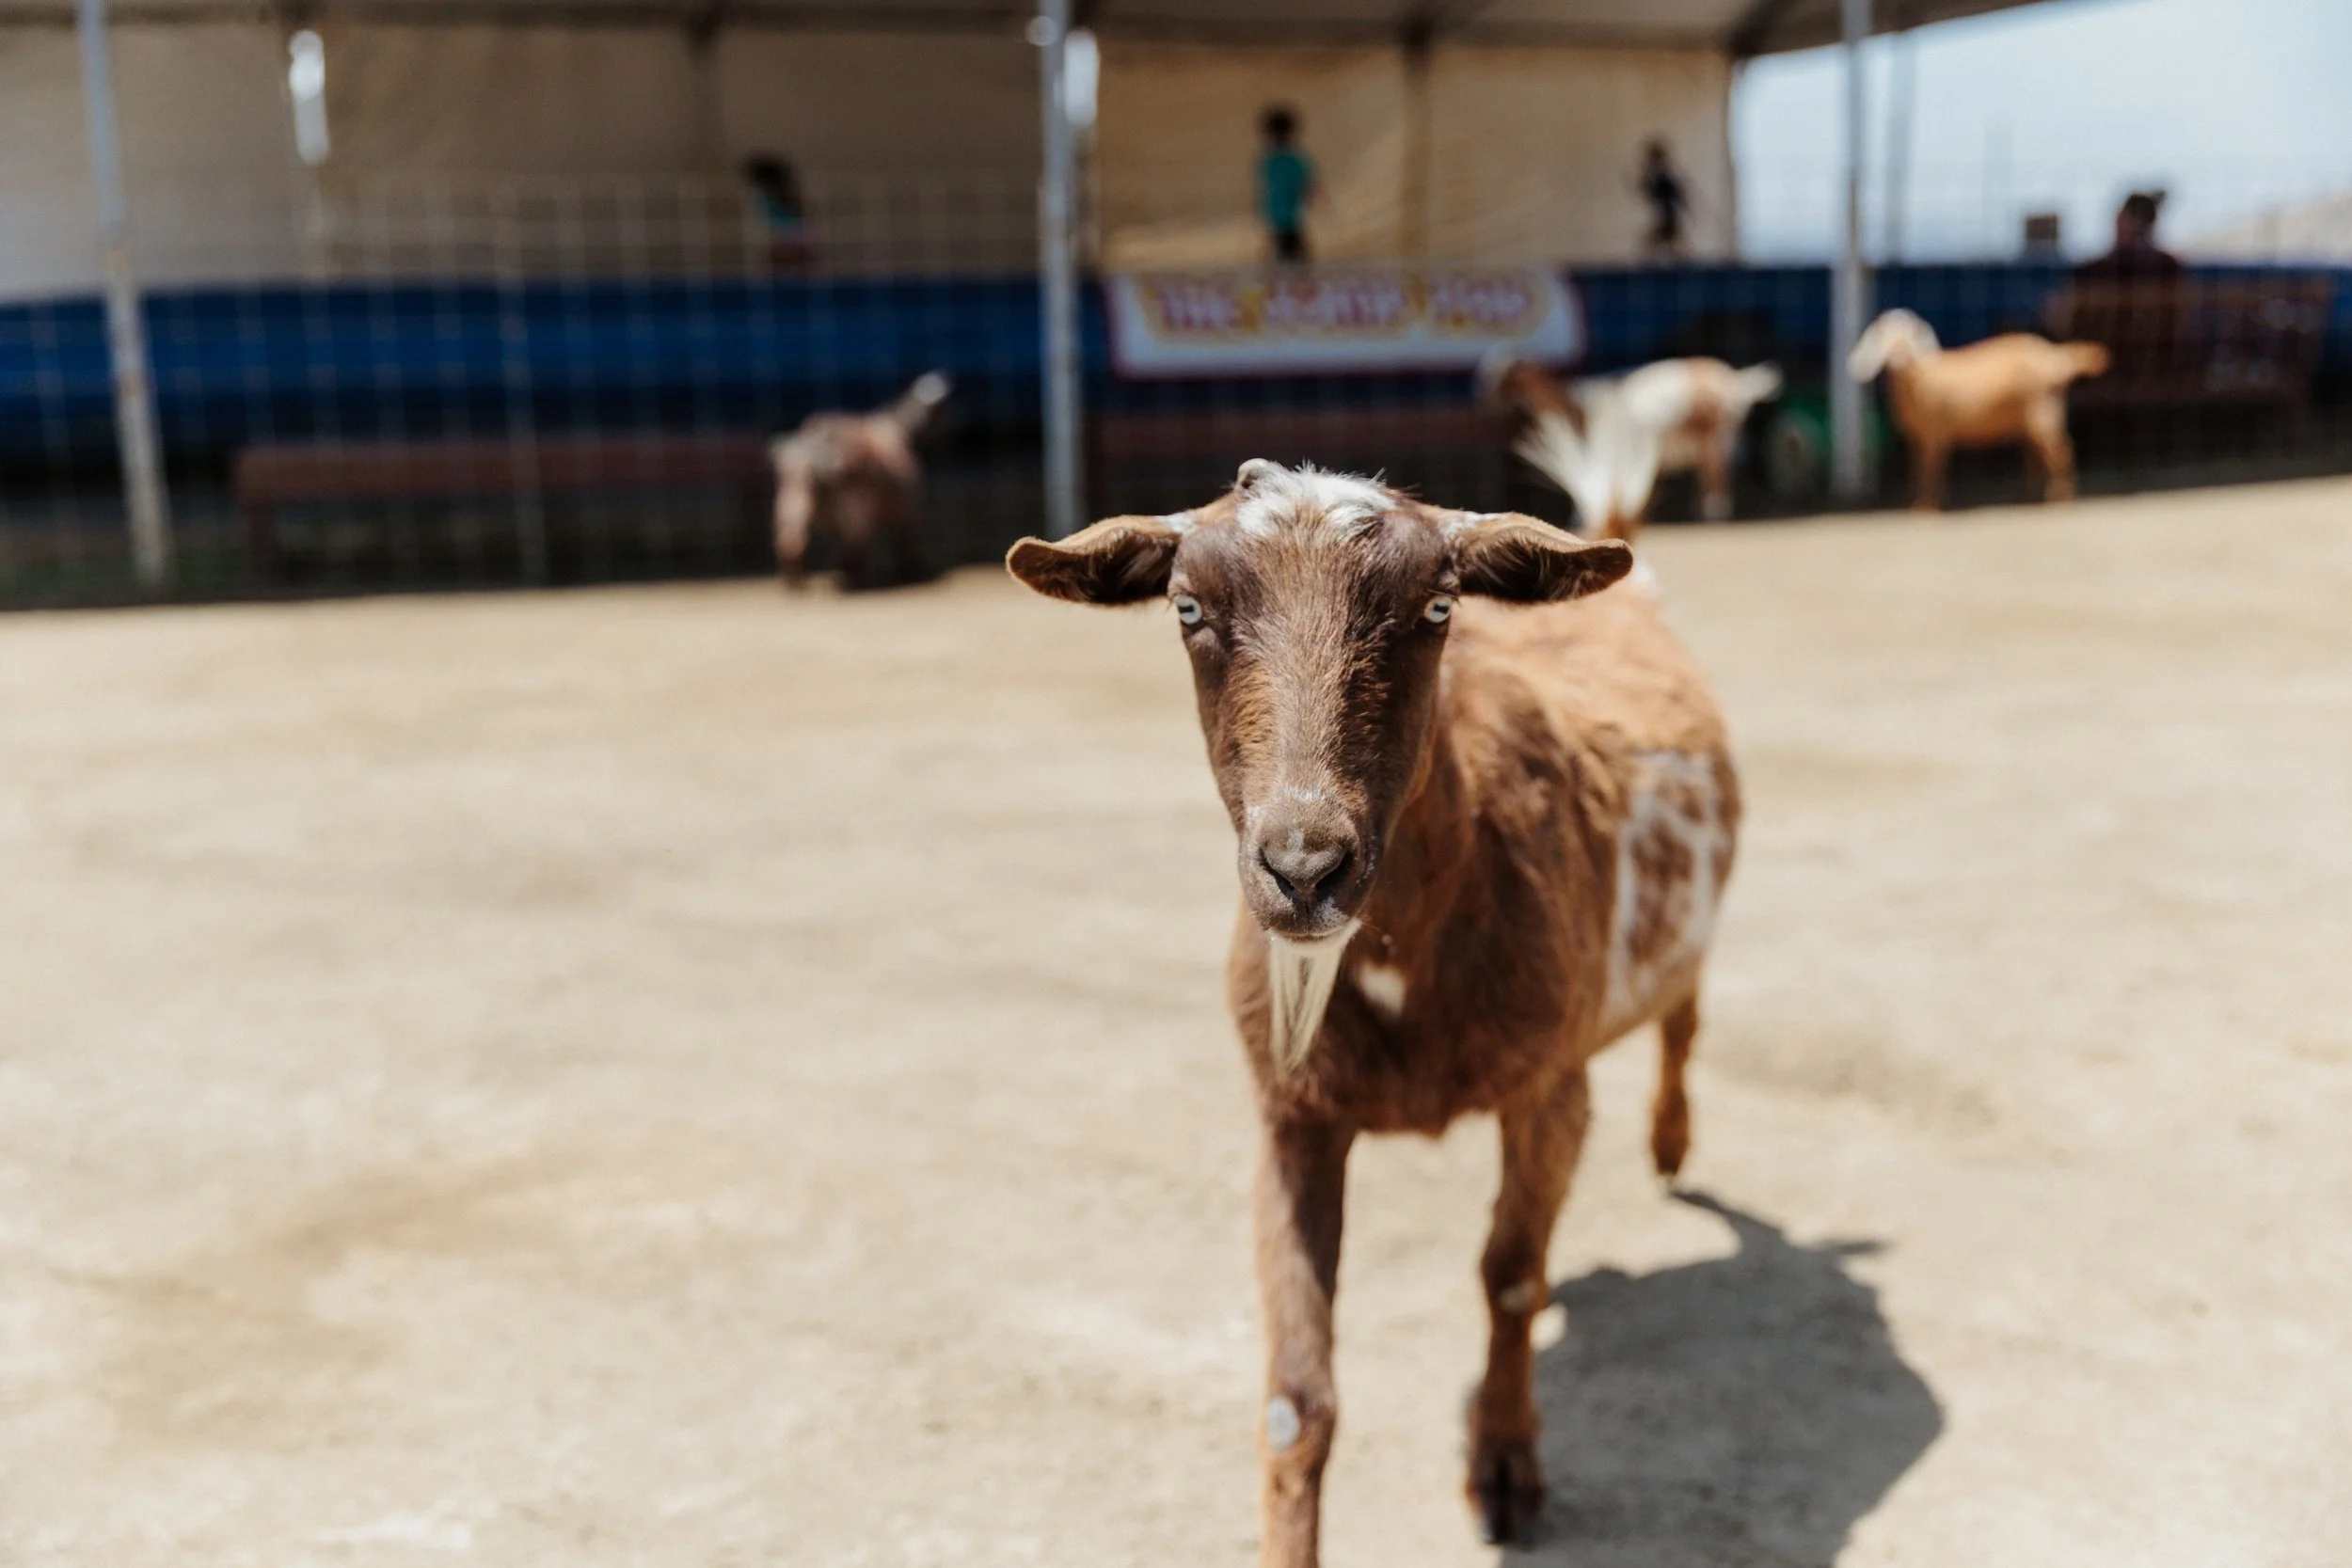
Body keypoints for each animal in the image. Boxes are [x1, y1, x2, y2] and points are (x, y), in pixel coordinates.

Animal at [770, 371, 950, 590]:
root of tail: (817, 446)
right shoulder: (908, 508)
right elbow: (908, 538)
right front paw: (911, 573)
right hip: (855, 509)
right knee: (856, 545)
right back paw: (859, 579)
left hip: (793, 496)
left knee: (792, 539)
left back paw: (798, 582)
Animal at [1007, 461, 1740, 1565]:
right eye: (1187, 609)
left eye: (1436, 607)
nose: (1305, 865)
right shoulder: (1291, 1117)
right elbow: (1296, 1397)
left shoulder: (1548, 1088)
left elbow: (1509, 1274)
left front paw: (1505, 1470)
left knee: (1683, 1016)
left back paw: (1670, 1142)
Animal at [1486, 355, 1782, 539]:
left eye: (1503, 377)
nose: (1488, 399)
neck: (1576, 408)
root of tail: (1734, 381)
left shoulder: (1600, 451)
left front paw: (1579, 520)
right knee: (1712, 475)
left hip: (1712, 437)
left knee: (1717, 475)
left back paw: (1712, 515)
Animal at [1847, 309, 2109, 511]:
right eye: (1882, 337)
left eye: (1909, 336)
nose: (1898, 358)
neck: (1918, 378)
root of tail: (2056, 358)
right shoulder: (1915, 437)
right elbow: (1916, 468)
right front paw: (1915, 501)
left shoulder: (1935, 433)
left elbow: (1931, 469)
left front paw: (1926, 508)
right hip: (2033, 417)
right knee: (2037, 454)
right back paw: (2028, 496)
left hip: (2043, 412)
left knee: (2061, 450)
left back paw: (2059, 498)